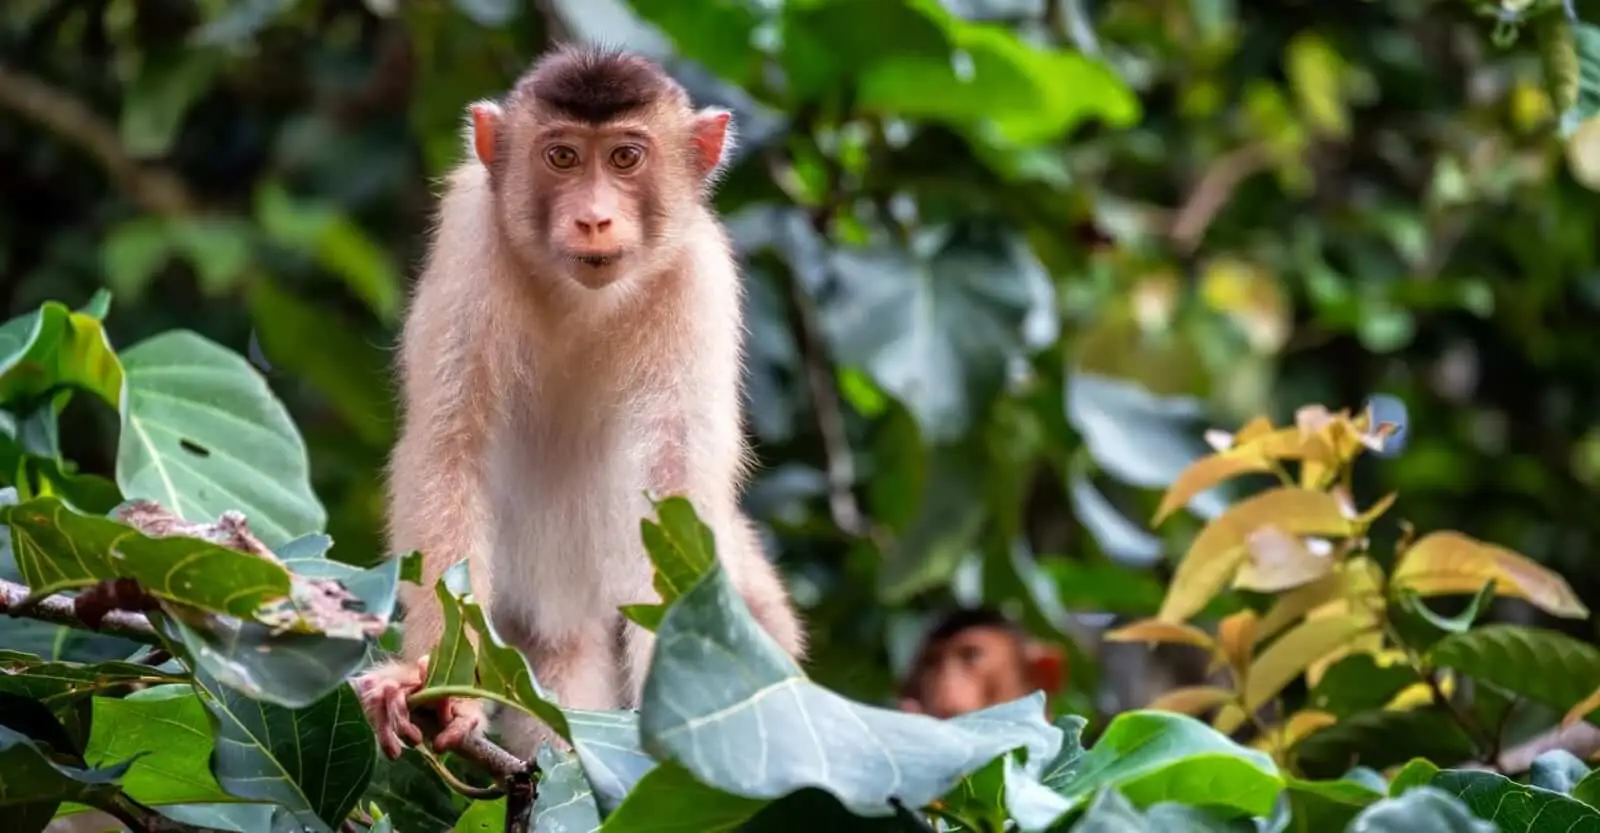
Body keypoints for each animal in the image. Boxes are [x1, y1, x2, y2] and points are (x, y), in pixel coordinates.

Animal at [352, 46, 807, 761]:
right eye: (562, 156)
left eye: (625, 157)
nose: (594, 218)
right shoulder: (470, 240)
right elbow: (450, 450)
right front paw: (434, 681)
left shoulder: (699, 280)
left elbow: (674, 494)